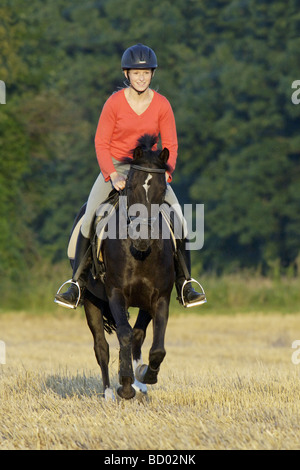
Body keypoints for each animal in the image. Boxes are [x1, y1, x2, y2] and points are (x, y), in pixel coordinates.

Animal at [83, 134, 175, 398]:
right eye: (131, 187)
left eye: (162, 189)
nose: (142, 237)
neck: (140, 254)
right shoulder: (116, 293)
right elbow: (123, 335)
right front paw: (124, 383)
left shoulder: (159, 298)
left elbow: (154, 346)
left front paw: (145, 376)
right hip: (90, 300)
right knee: (101, 347)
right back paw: (108, 393)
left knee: (137, 336)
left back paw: (139, 384)